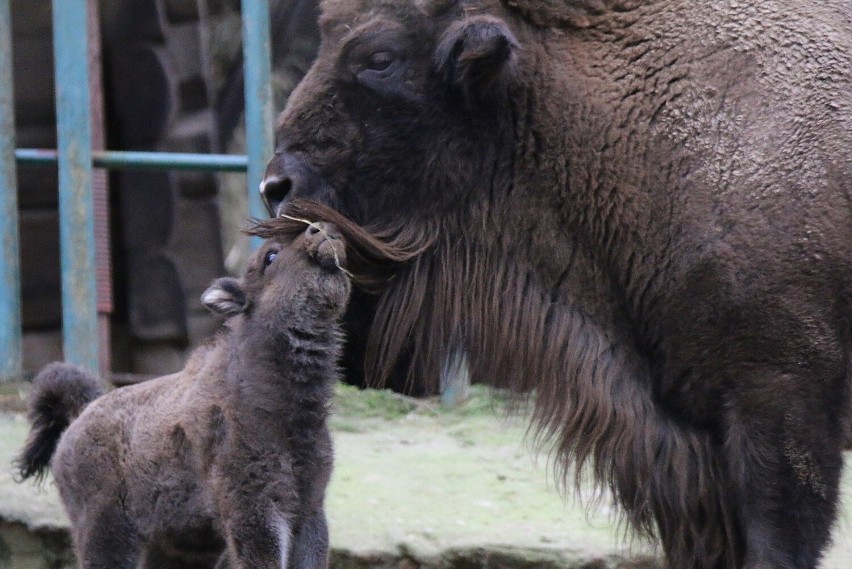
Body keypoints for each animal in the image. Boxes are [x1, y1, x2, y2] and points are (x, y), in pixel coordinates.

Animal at [15, 221, 350, 568]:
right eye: (270, 255)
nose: (323, 230)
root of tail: (81, 414)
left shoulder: (309, 507)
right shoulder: (255, 509)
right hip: (106, 534)